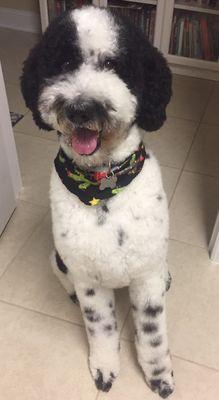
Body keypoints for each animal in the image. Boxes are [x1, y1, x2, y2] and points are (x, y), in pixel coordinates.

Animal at [21, 5, 175, 396]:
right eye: (63, 63)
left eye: (115, 65)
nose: (80, 108)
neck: (103, 185)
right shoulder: (89, 280)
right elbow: (101, 329)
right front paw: (105, 368)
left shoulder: (147, 277)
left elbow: (152, 335)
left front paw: (159, 376)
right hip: (58, 260)